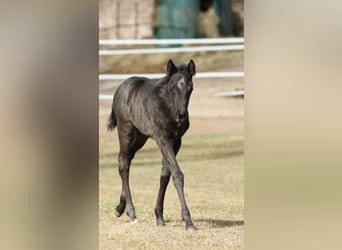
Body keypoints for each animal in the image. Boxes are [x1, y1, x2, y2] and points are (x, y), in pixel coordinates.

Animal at [108, 59, 196, 230]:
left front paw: (159, 216)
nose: (182, 114)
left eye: (190, 87)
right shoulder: (163, 138)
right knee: (123, 164)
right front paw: (188, 221)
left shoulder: (176, 141)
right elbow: (177, 174)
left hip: (140, 137)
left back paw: (120, 208)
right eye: (172, 88)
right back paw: (131, 212)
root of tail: (121, 87)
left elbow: (165, 176)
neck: (168, 107)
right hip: (126, 131)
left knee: (127, 161)